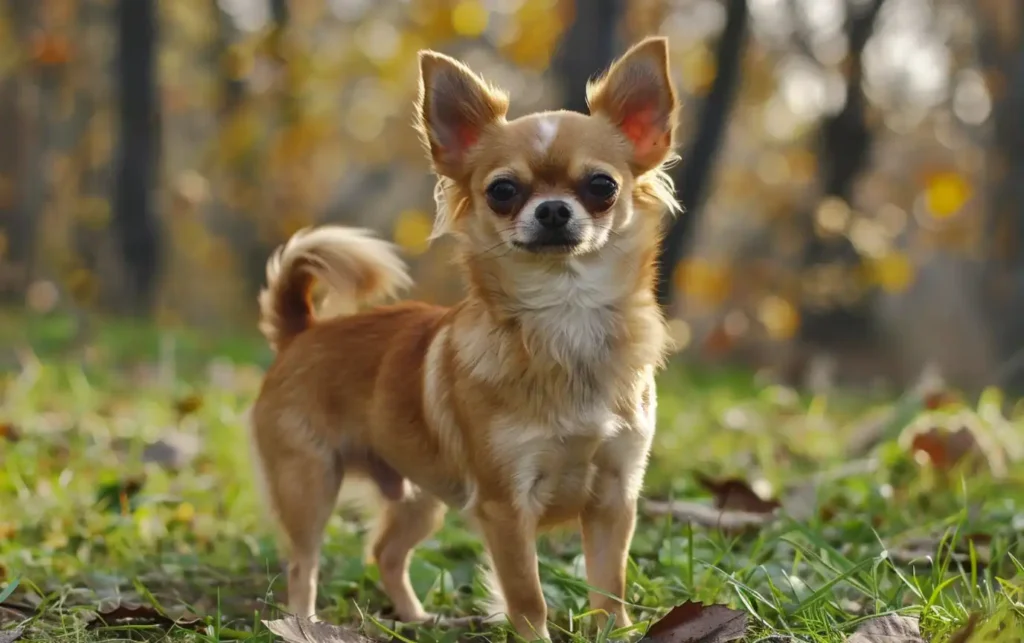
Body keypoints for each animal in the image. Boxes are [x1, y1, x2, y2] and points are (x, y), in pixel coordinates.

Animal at [247, 37, 679, 638]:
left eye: (602, 186)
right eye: (502, 190)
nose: (552, 209)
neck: (566, 318)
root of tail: (300, 333)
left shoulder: (615, 496)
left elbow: (607, 586)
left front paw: (615, 631)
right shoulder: (505, 506)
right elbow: (527, 595)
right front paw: (535, 637)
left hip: (418, 496)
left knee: (385, 552)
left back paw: (415, 617)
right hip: (309, 485)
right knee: (303, 564)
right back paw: (305, 623)